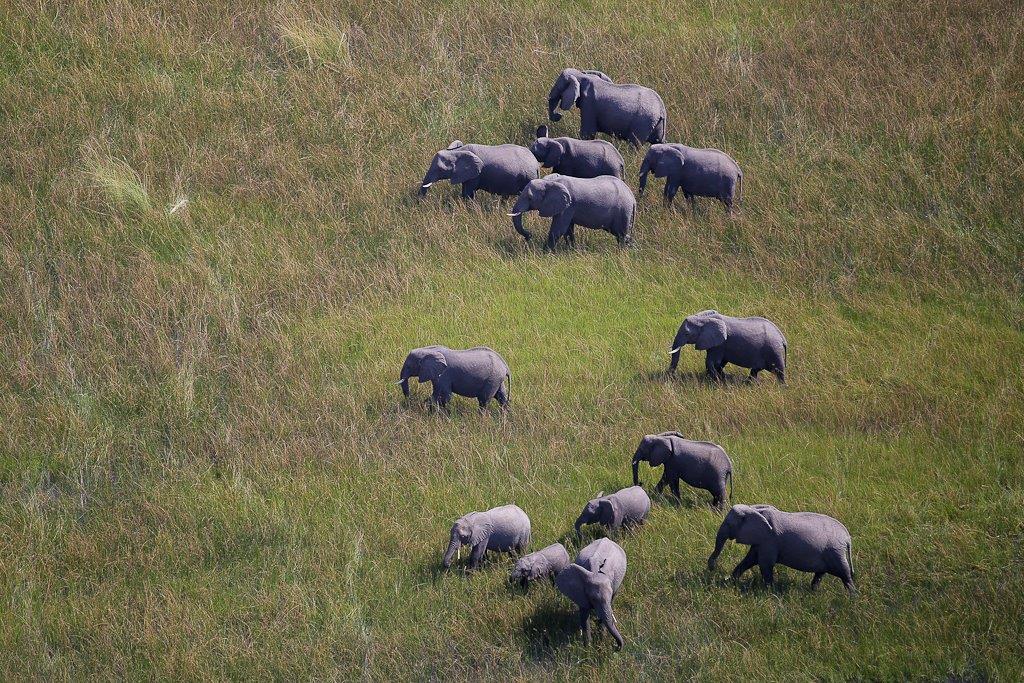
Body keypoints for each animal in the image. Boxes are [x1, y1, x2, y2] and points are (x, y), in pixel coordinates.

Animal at [704, 501, 856, 593]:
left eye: (729, 524)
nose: (712, 568)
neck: (754, 510)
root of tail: (847, 538)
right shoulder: (762, 540)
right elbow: (749, 560)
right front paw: (730, 582)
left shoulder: (770, 540)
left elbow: (764, 564)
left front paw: (769, 592)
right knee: (821, 573)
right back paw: (813, 592)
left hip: (835, 552)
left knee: (845, 574)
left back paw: (852, 597)